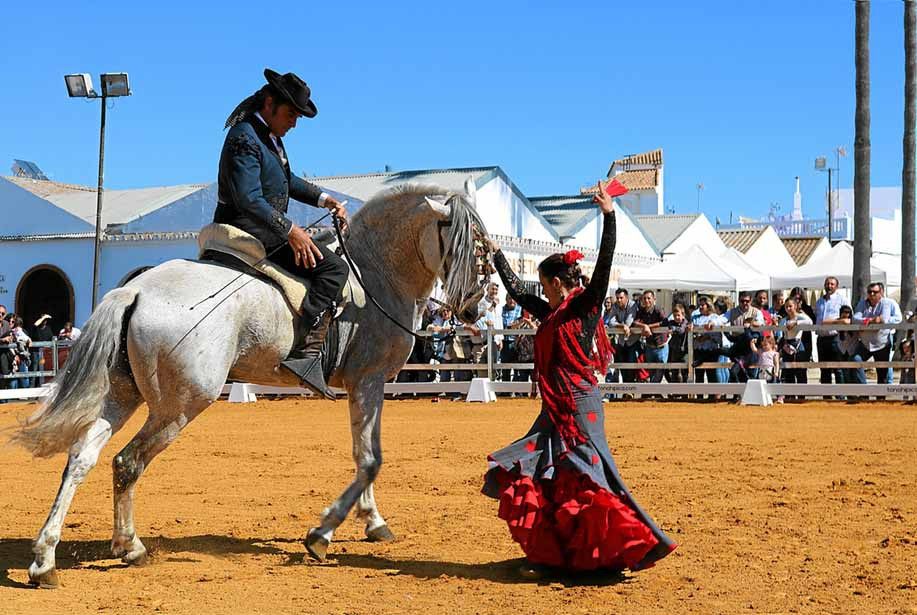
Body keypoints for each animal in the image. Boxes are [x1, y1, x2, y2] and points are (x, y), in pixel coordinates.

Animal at [14, 180, 486, 588]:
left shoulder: (366, 387)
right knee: (127, 463)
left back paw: (46, 559)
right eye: (467, 245)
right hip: (179, 407)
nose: (474, 310)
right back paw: (128, 547)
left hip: (122, 396)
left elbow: (364, 454)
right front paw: (321, 535)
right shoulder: (367, 382)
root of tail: (135, 292)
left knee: (82, 458)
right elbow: (370, 459)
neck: (375, 275)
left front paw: (372, 522)